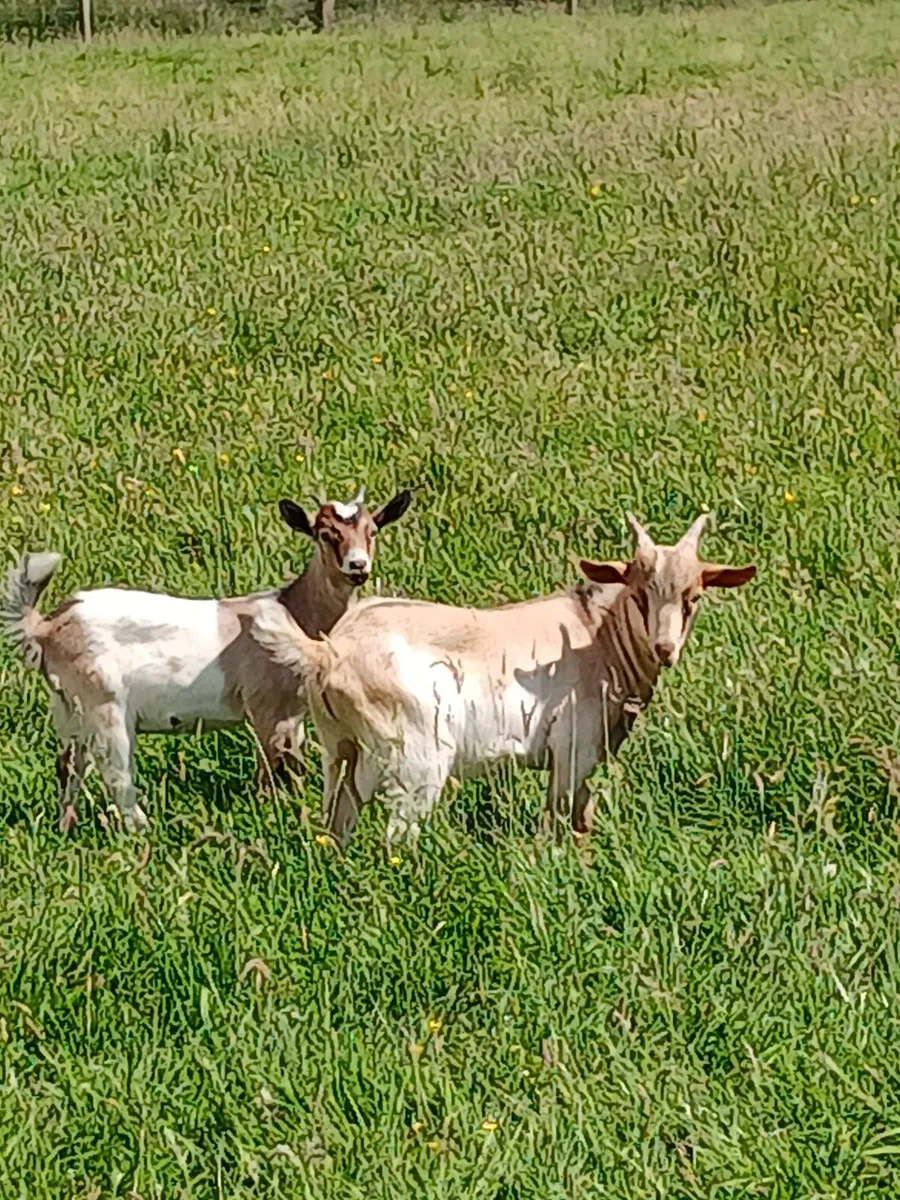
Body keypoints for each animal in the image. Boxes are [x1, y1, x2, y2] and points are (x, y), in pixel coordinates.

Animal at [3, 486, 412, 833]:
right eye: (325, 534)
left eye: (373, 530)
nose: (358, 566)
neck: (296, 614)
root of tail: (48, 626)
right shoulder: (267, 708)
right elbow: (273, 771)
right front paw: (276, 818)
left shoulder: (292, 713)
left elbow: (292, 767)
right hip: (104, 702)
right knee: (115, 772)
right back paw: (143, 832)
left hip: (68, 708)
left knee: (68, 765)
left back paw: (65, 828)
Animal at [252, 512, 755, 846]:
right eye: (639, 593)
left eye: (693, 597)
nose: (665, 649)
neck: (599, 636)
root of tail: (328, 652)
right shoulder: (573, 747)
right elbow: (560, 817)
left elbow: (582, 818)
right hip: (415, 754)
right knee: (398, 832)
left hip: (341, 748)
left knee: (339, 819)